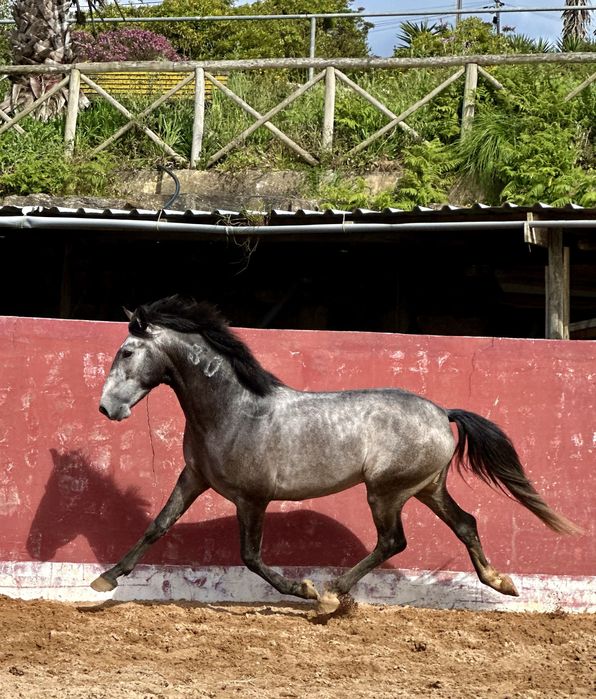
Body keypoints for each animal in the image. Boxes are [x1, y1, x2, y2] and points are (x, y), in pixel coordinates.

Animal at [92, 295, 579, 613]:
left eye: (127, 351)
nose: (106, 408)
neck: (234, 410)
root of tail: (444, 413)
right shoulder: (193, 478)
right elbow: (157, 526)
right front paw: (105, 579)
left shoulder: (252, 498)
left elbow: (251, 557)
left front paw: (306, 590)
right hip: (427, 488)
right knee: (465, 523)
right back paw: (502, 583)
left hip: (386, 491)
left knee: (393, 541)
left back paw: (331, 594)